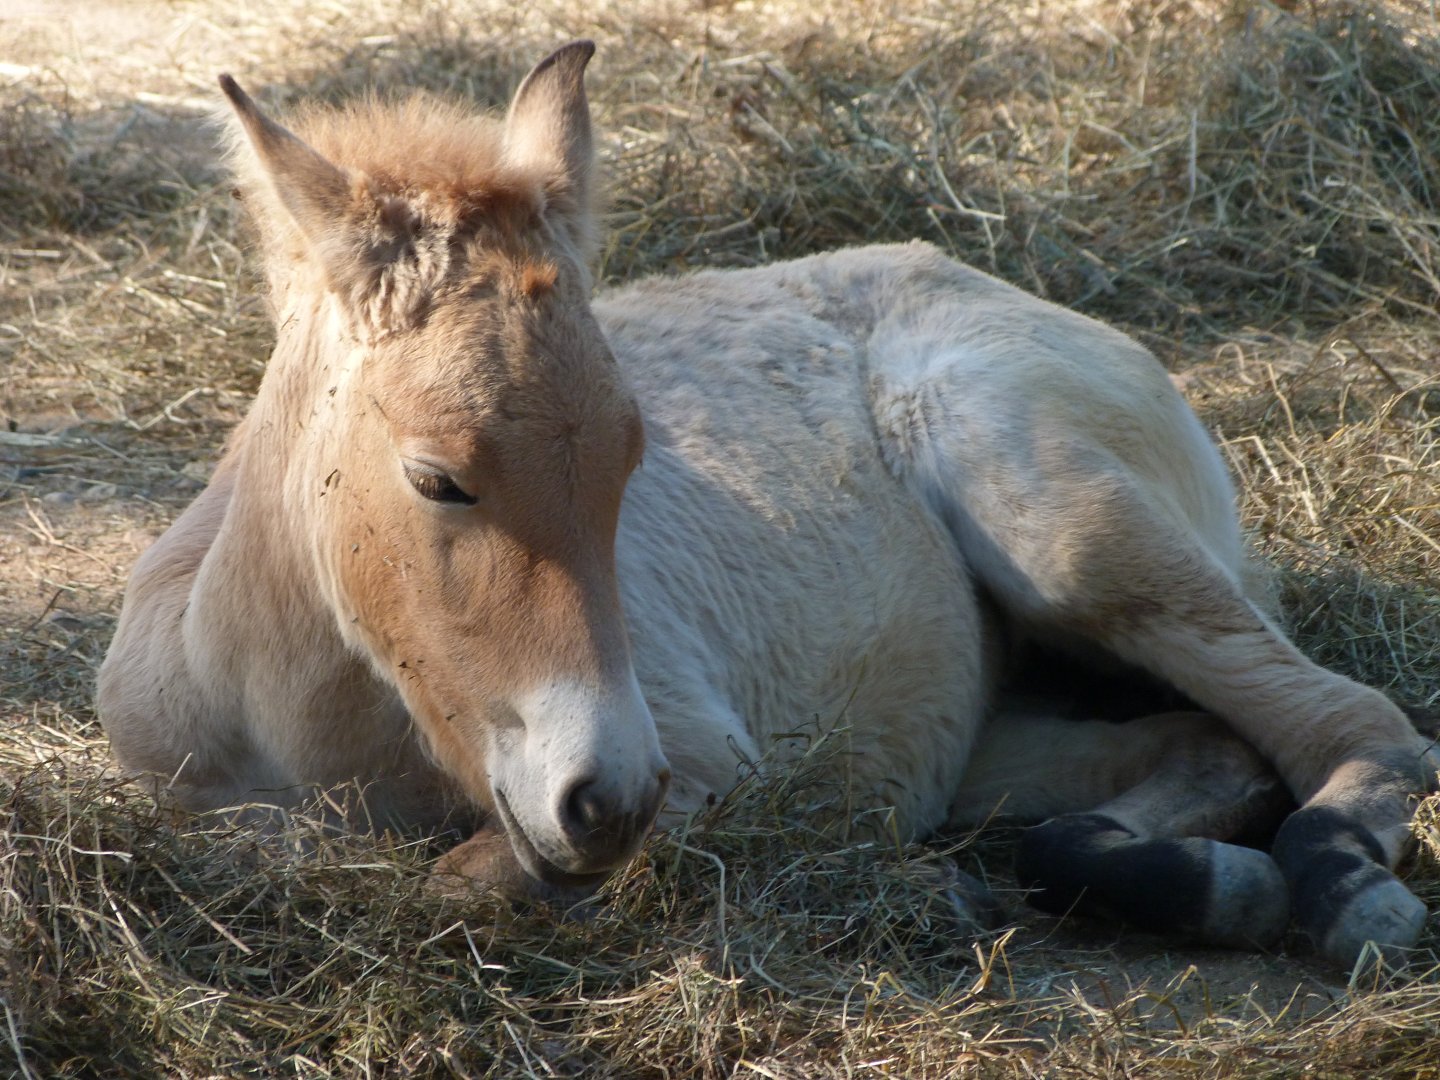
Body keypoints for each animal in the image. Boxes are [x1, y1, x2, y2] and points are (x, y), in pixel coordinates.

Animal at [96, 41, 1438, 968]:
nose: (608, 799)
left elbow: (458, 883)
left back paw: (1336, 887)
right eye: (438, 477)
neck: (307, 721)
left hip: (1064, 531)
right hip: (983, 741)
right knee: (1197, 749)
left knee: (1353, 719)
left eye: (634, 459)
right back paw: (1191, 879)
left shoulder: (700, 766)